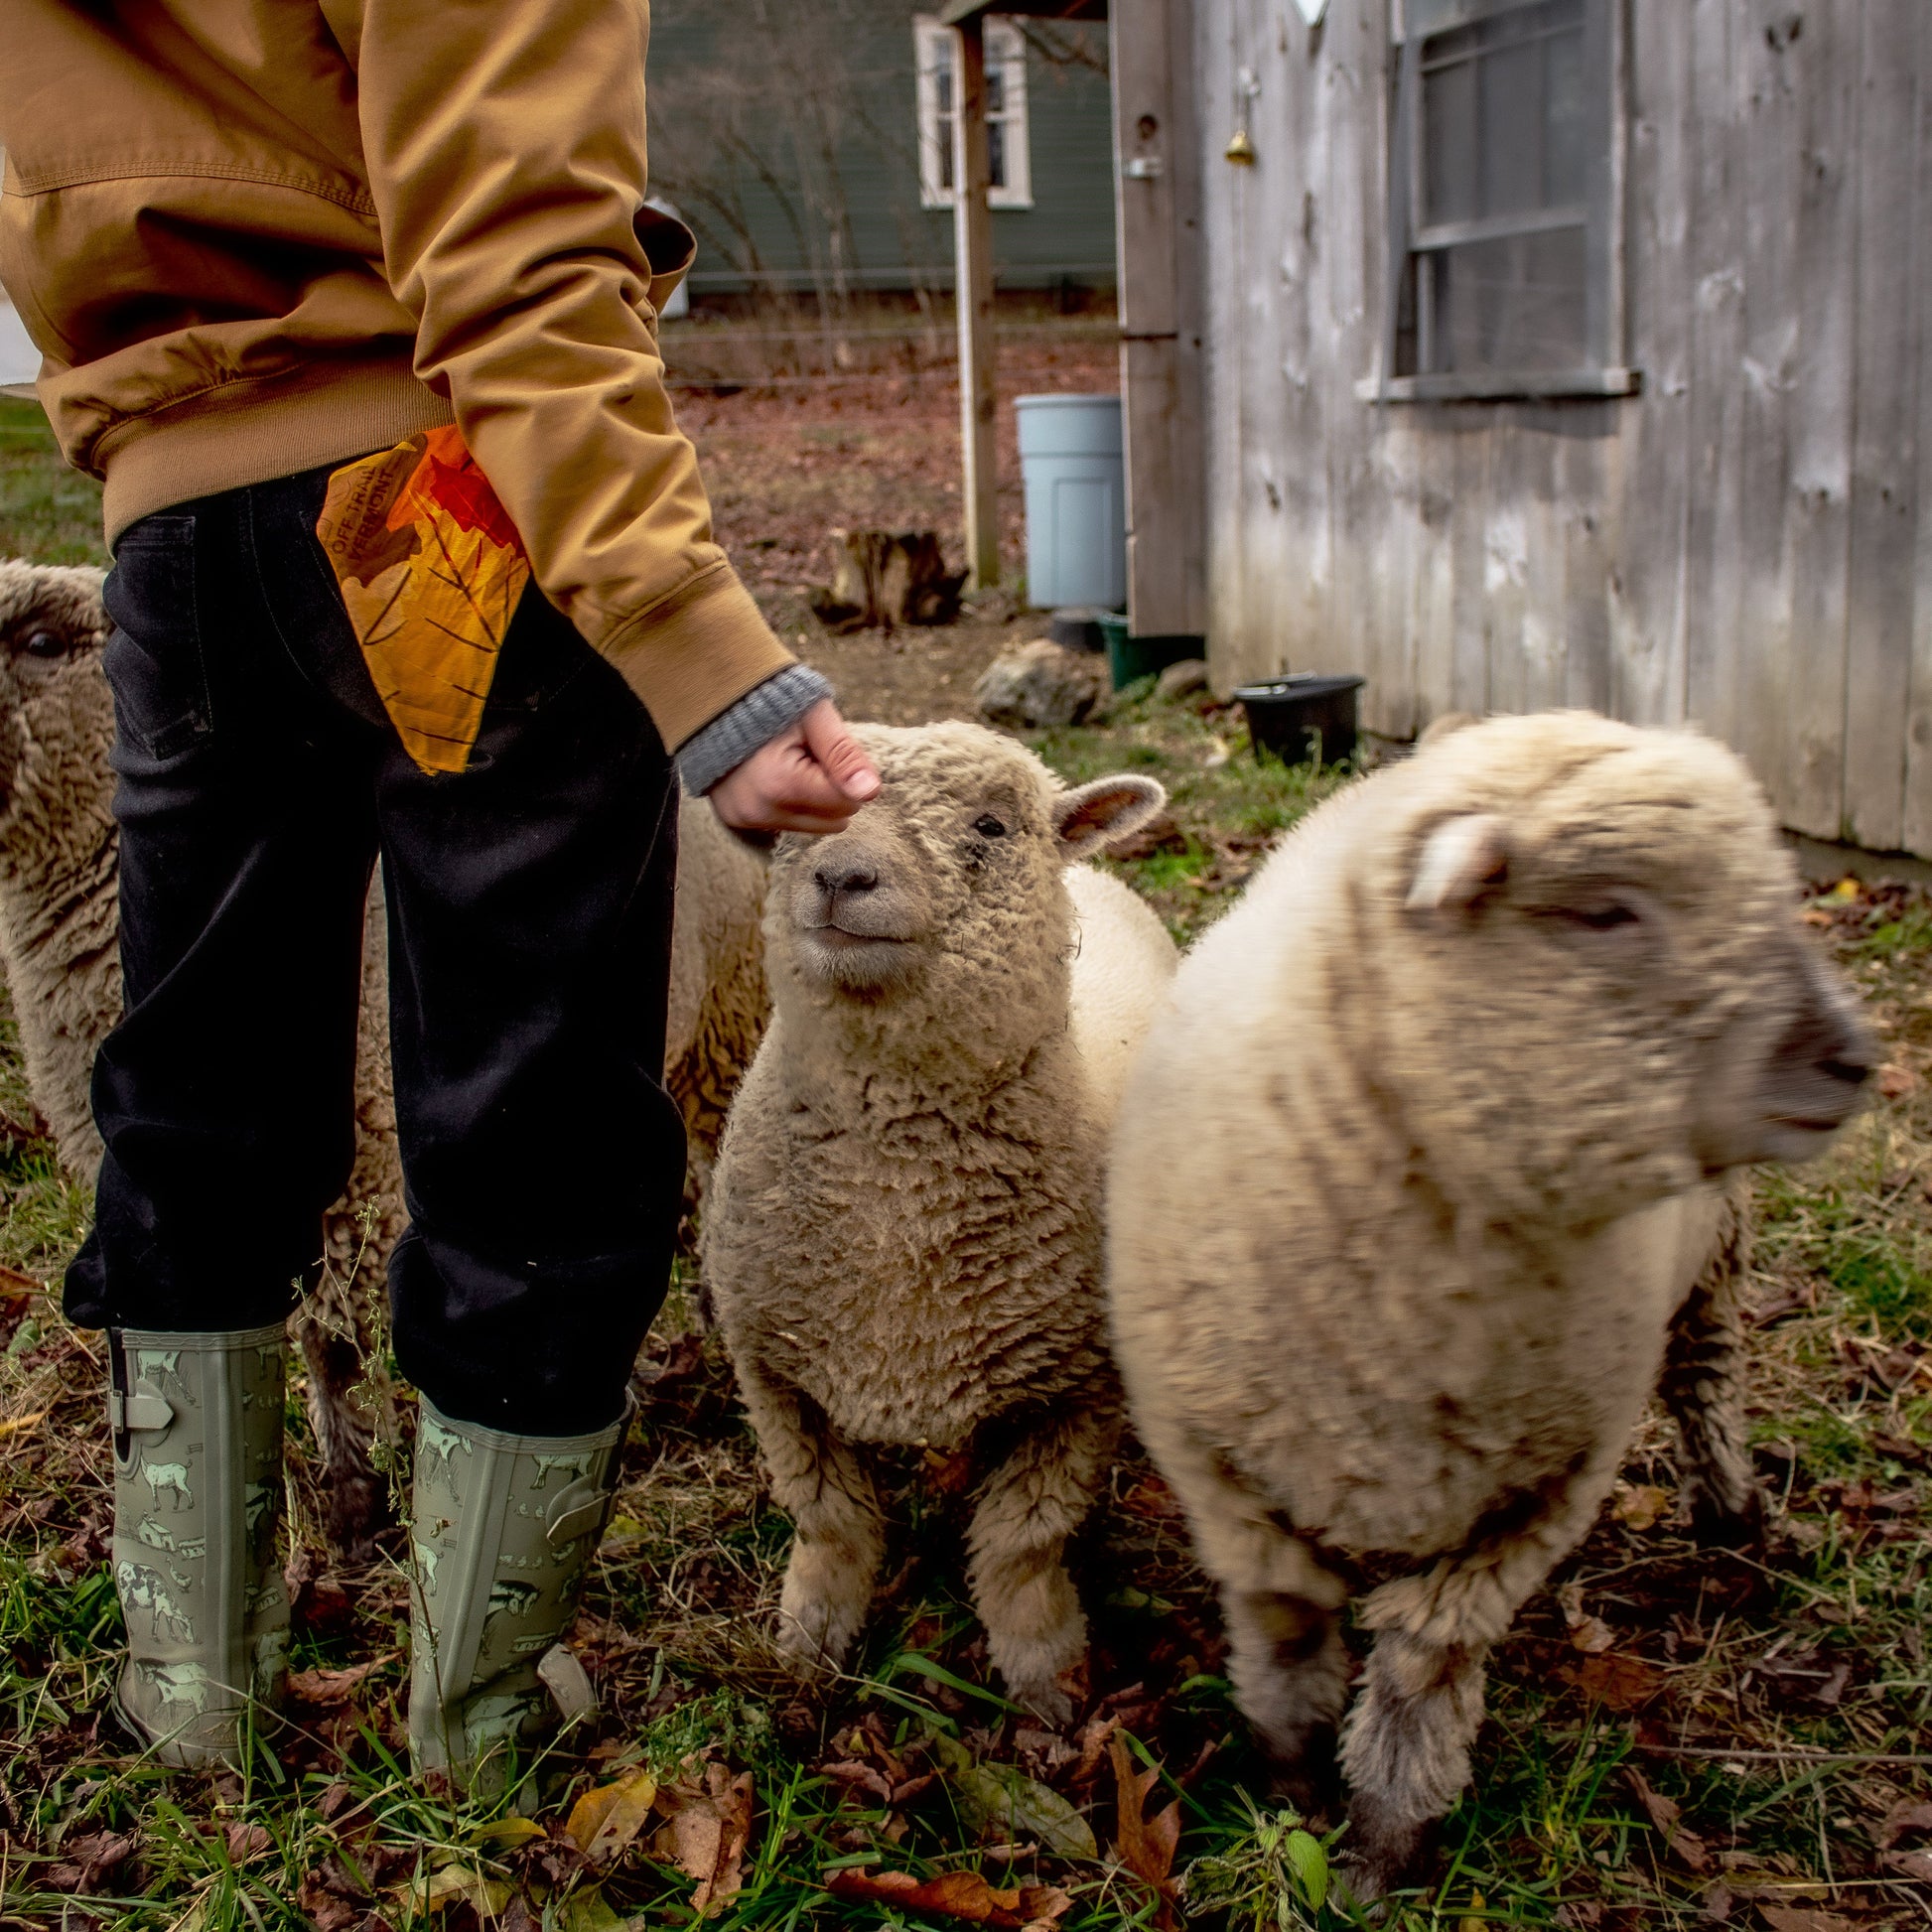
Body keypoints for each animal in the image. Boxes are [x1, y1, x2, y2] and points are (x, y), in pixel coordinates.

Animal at [0, 559, 771, 1560]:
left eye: (42, 643)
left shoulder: (359, 1175)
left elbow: (338, 1345)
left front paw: (366, 1495)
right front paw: (341, 1497)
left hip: (726, 1036)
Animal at [702, 720, 1175, 1720]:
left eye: (991, 825)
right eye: (798, 820)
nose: (840, 877)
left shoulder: (1077, 1390)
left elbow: (1021, 1545)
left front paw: (1046, 1679)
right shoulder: (775, 1373)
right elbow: (830, 1523)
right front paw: (809, 1647)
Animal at [1105, 710, 1872, 1897]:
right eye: (1606, 911)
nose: (1853, 1058)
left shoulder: (1537, 1492)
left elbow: (1426, 1662)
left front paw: (1383, 1840)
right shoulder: (1221, 1469)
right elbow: (1285, 1625)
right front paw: (1287, 1776)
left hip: (1713, 1251)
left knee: (1706, 1375)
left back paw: (1733, 1509)